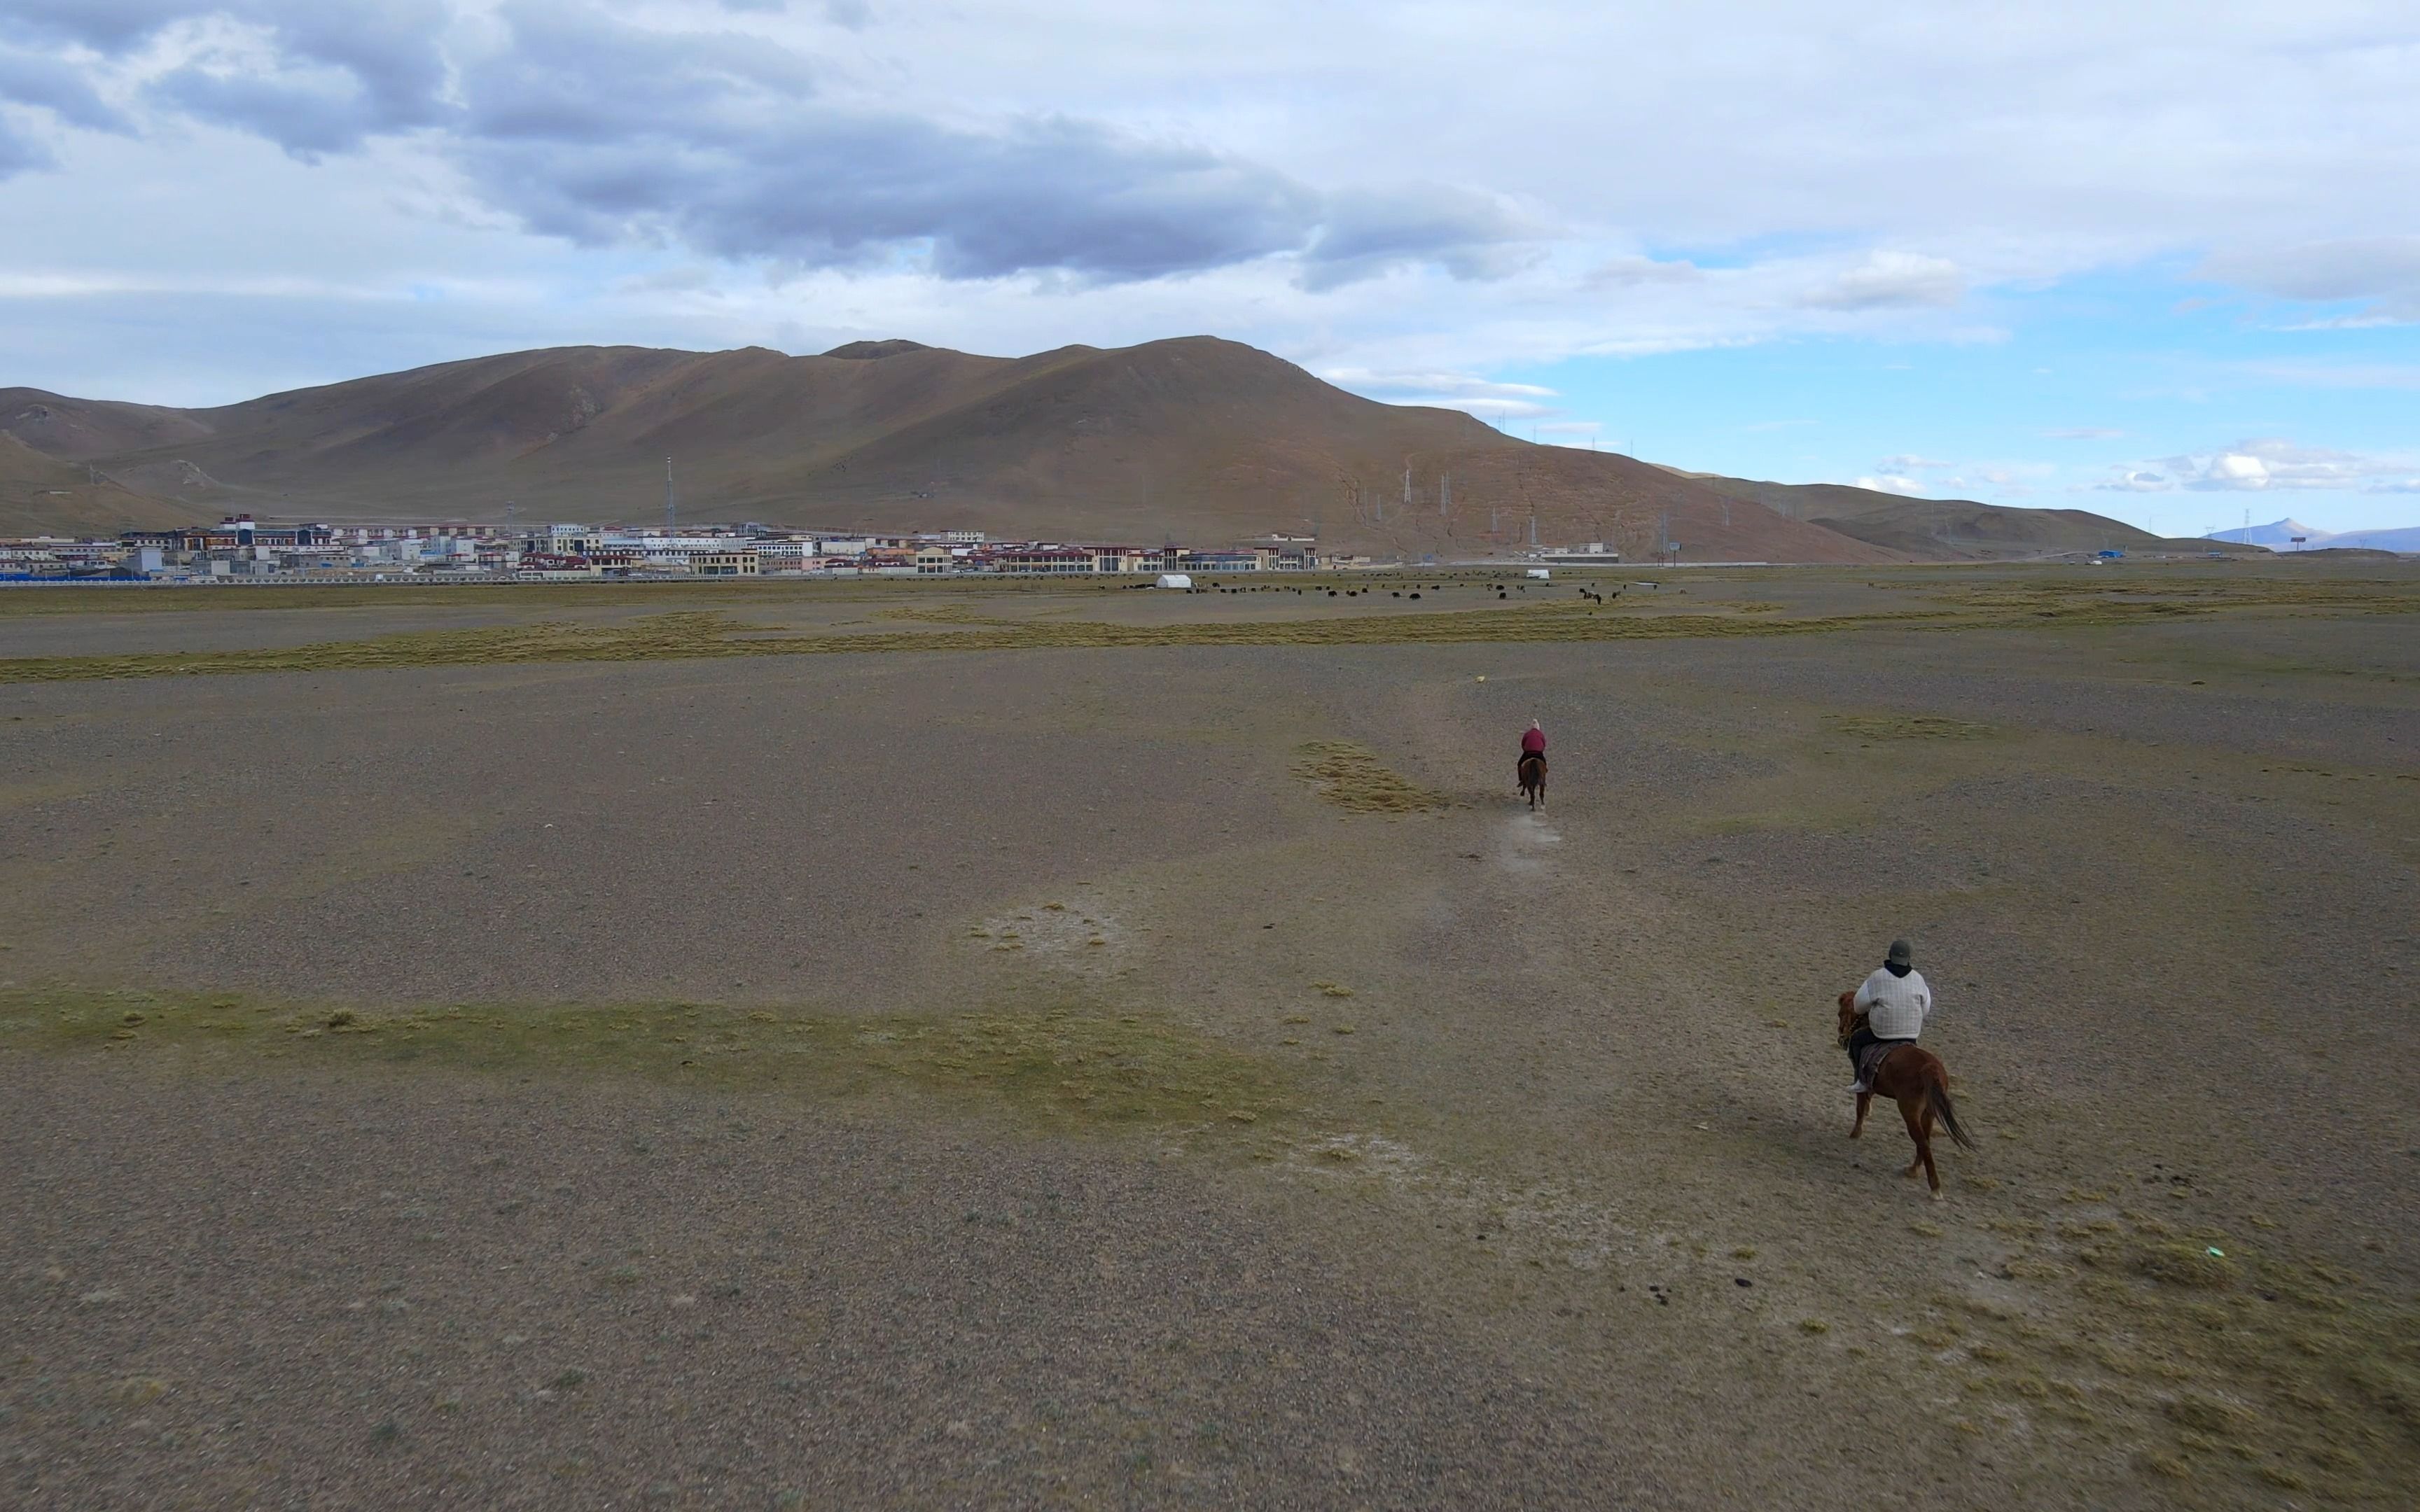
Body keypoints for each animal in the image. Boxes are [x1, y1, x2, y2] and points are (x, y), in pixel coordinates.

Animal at [1839, 991, 1975, 1205]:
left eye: (1840, 1014)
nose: (1841, 1037)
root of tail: (1930, 1069)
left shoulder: (1859, 1076)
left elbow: (1860, 1107)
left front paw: (1855, 1134)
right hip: (1928, 1113)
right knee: (1925, 1141)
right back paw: (1913, 1171)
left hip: (1910, 1112)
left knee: (1923, 1142)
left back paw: (1934, 1188)